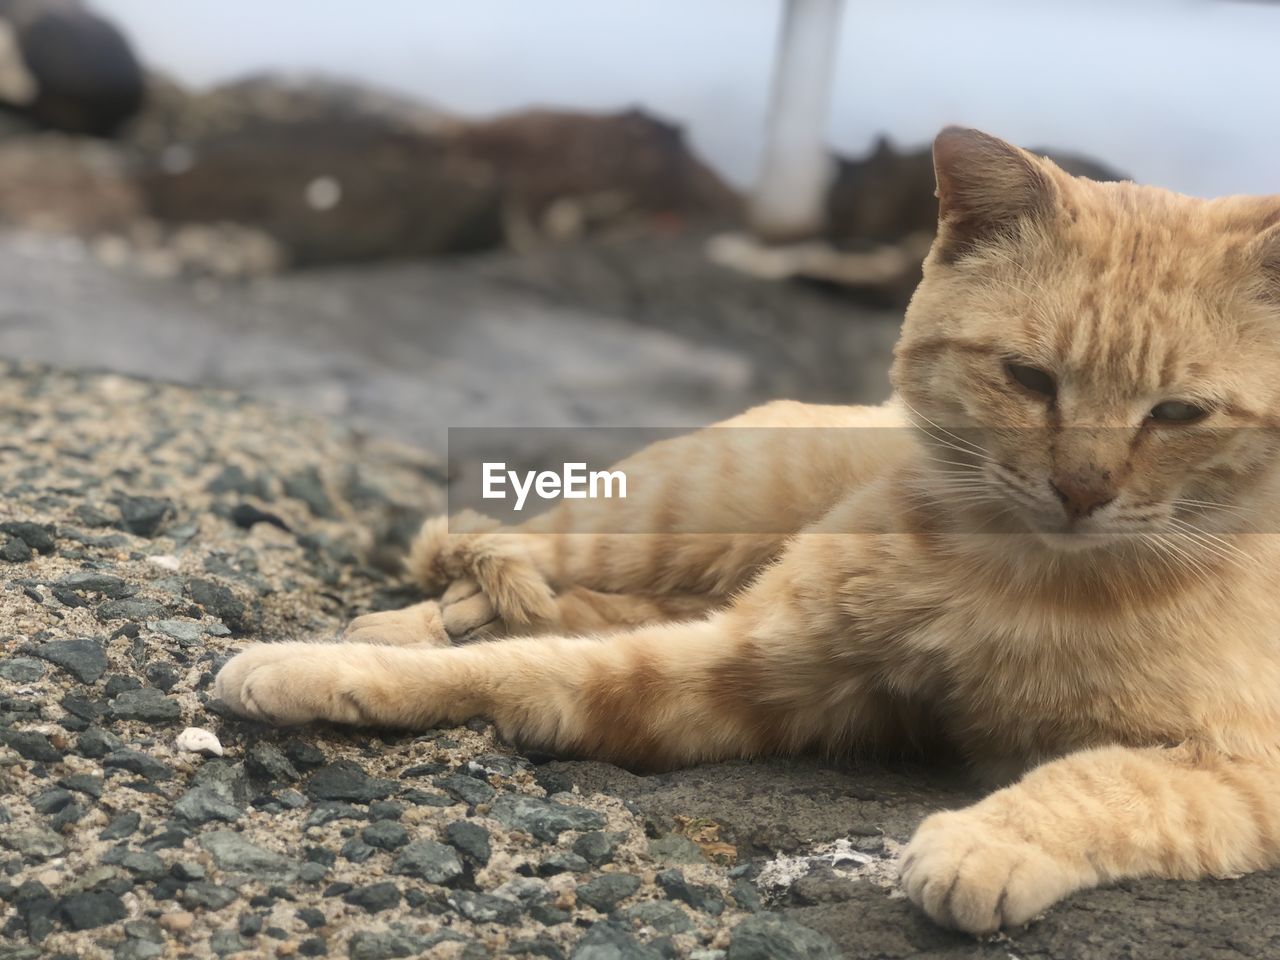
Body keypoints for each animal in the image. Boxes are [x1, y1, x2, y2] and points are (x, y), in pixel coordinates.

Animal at [212, 126, 1280, 931]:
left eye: (1177, 414)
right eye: (1028, 378)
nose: (1080, 490)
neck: (1021, 583)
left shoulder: (1247, 769)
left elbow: (1108, 783)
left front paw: (988, 838)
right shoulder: (759, 658)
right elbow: (511, 669)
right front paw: (320, 668)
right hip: (677, 511)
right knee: (493, 553)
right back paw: (404, 621)